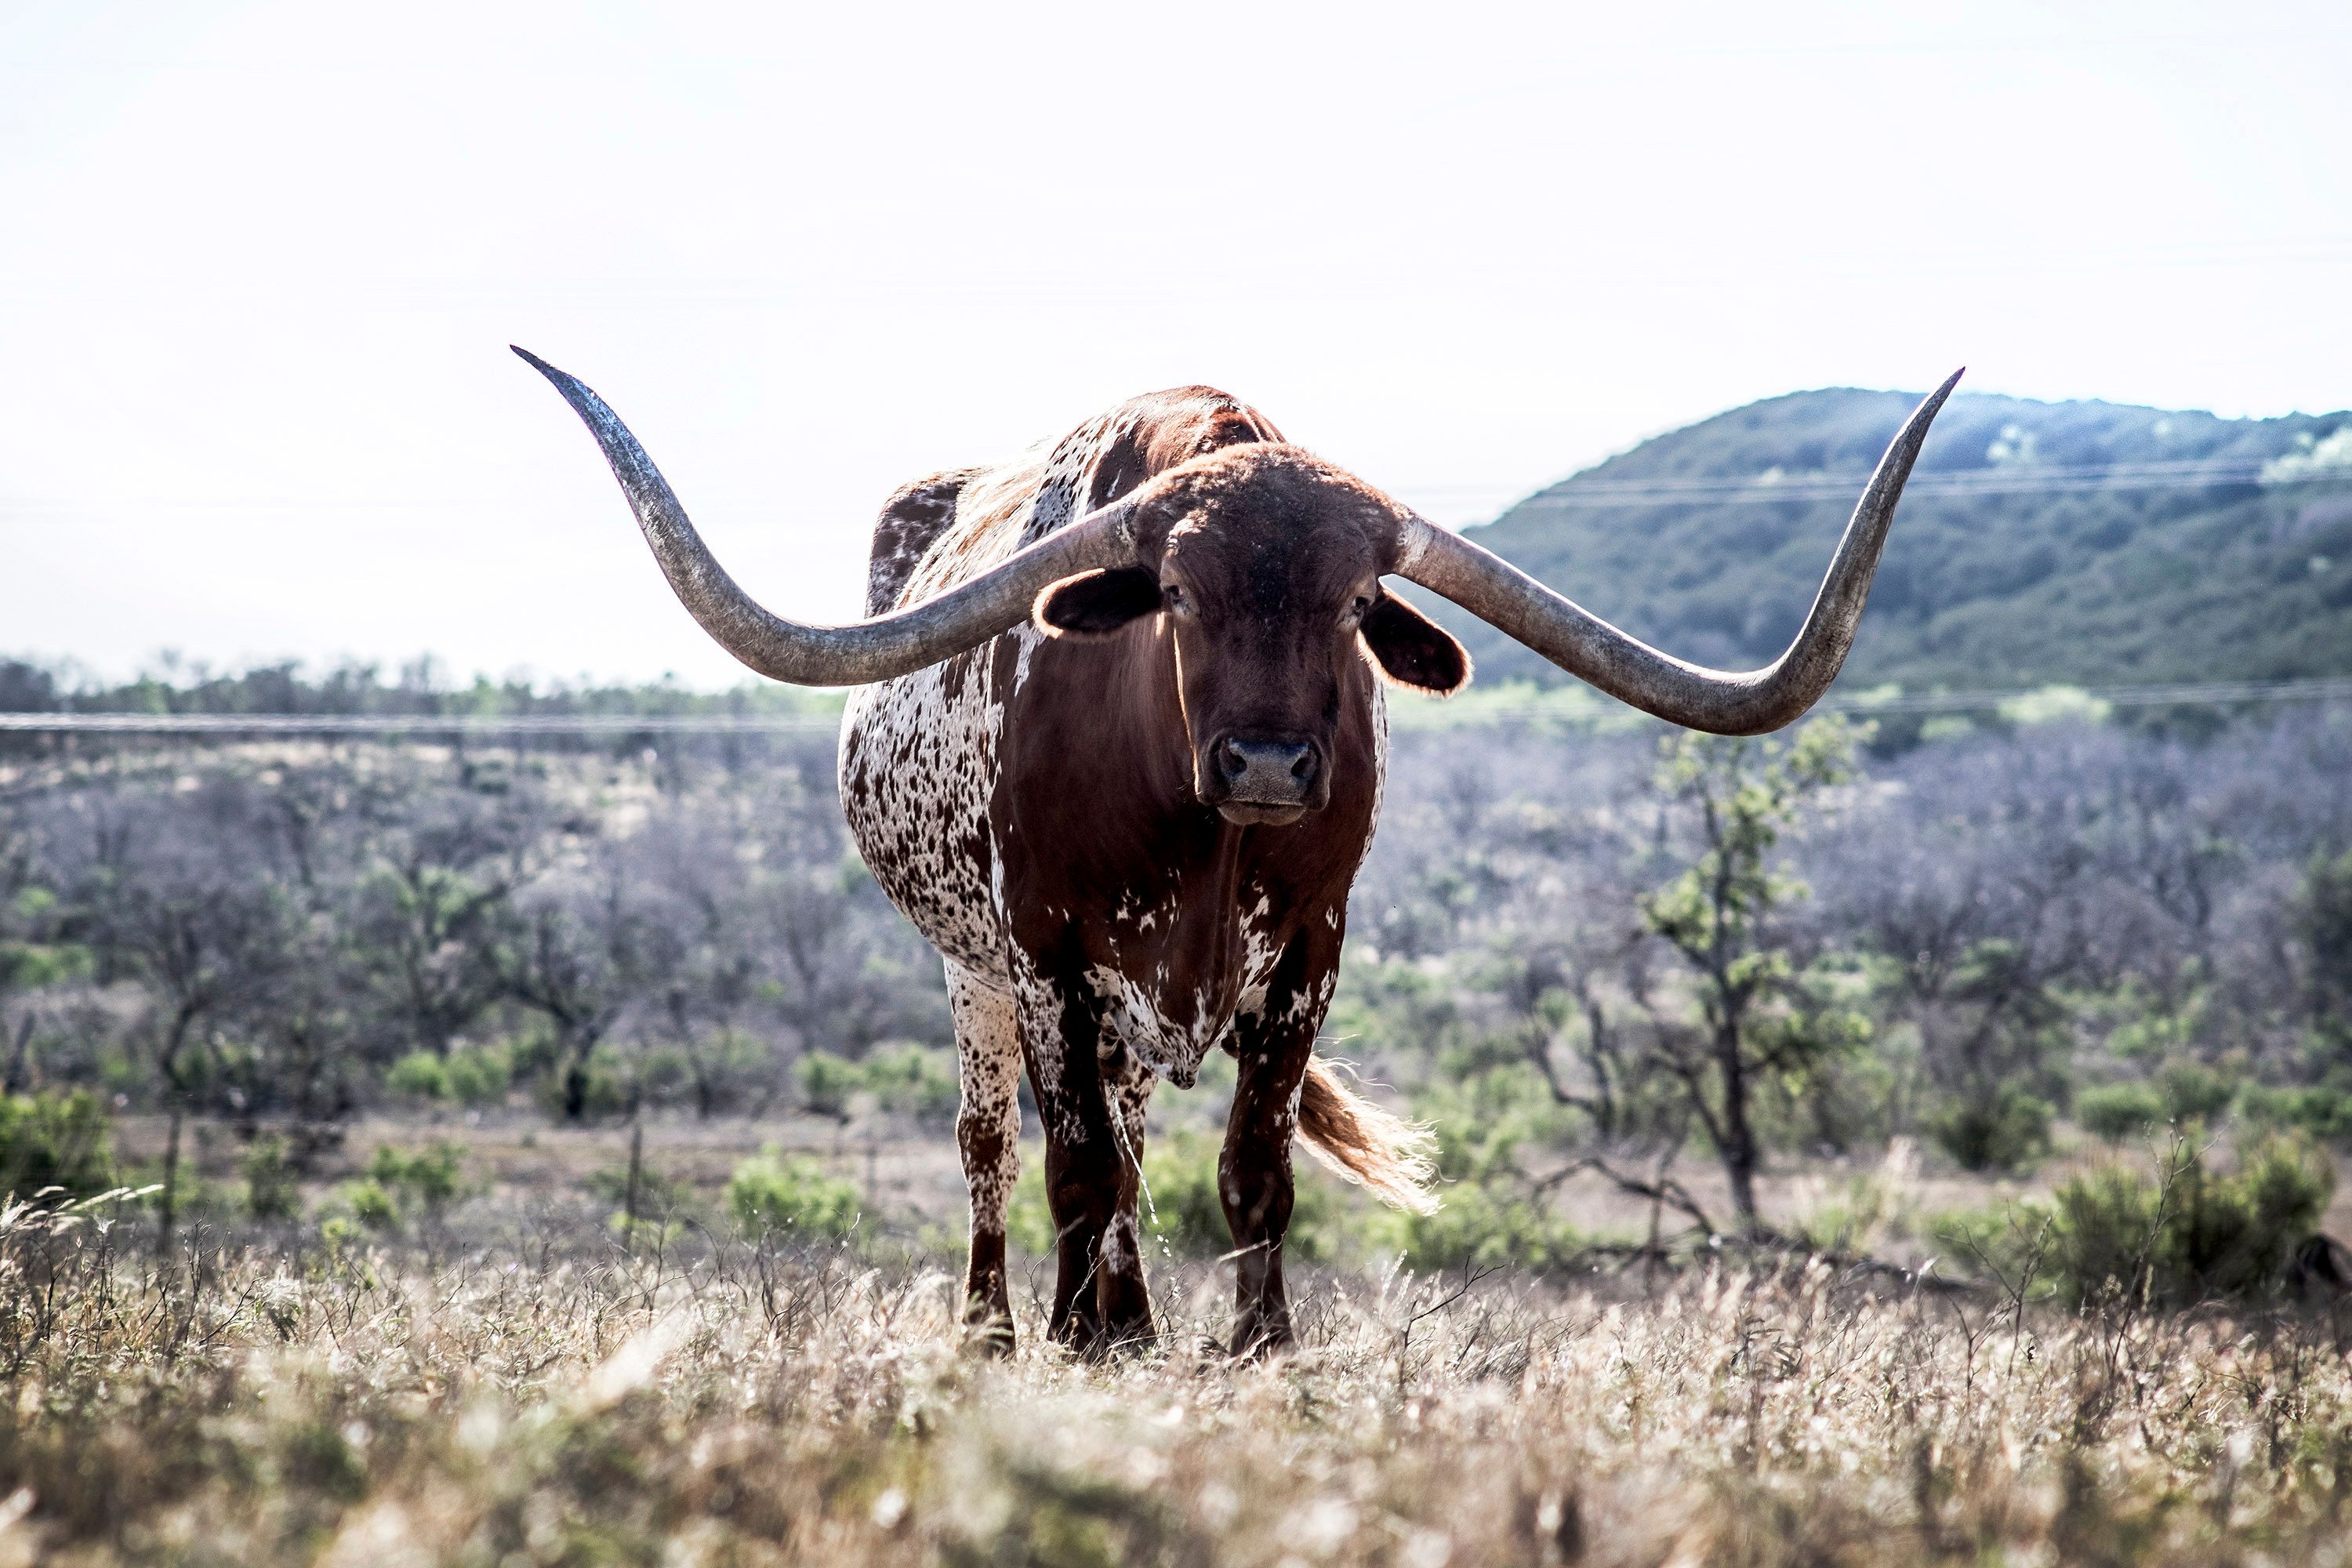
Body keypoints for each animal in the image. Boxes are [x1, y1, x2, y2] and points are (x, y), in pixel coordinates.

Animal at [524, 350, 1957, 1354]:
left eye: (1354, 602)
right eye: (1181, 595)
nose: (1267, 766)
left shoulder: (1309, 956)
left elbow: (1248, 1170)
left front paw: (1256, 1343)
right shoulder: (1045, 951)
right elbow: (1074, 1164)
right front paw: (1074, 1344)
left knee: (1133, 1140)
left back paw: (1132, 1321)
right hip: (976, 976)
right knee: (1000, 1148)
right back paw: (1007, 1330)